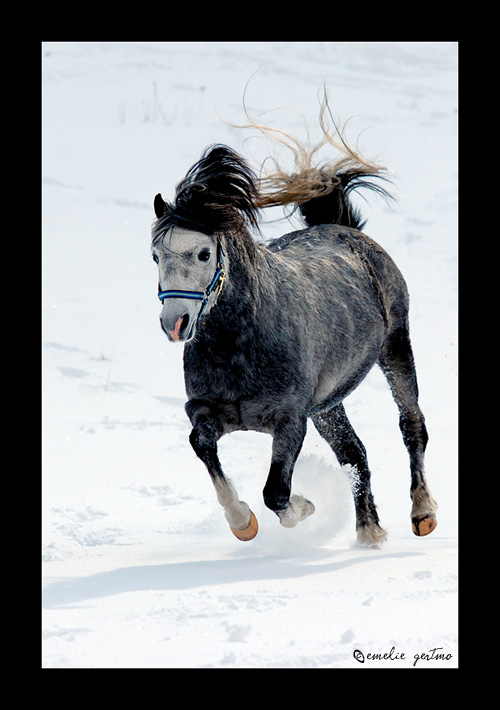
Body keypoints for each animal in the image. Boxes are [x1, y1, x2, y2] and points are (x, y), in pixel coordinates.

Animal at [150, 108, 436, 548]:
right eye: (155, 256)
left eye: (203, 253)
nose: (174, 324)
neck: (240, 345)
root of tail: (348, 231)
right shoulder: (205, 411)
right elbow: (202, 446)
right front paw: (242, 522)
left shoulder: (289, 419)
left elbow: (276, 492)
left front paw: (304, 509)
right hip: (329, 404)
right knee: (354, 453)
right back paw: (369, 532)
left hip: (395, 348)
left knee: (411, 425)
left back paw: (422, 514)